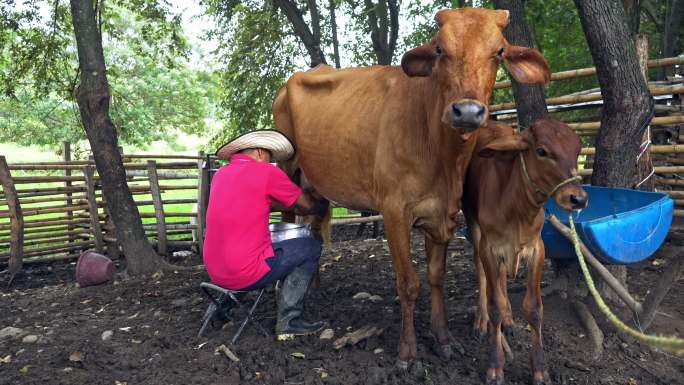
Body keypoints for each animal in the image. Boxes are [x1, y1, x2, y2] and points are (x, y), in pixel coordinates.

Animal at [272, 7, 552, 364]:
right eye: (440, 49)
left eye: (499, 51)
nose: (467, 111)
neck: (441, 156)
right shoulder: (394, 212)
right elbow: (408, 283)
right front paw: (408, 351)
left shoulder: (443, 214)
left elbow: (436, 277)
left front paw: (443, 338)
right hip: (287, 166)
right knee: (288, 219)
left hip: (317, 182)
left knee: (315, 225)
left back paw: (313, 286)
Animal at [462, 118, 584, 384]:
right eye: (542, 151)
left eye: (577, 150)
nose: (578, 199)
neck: (517, 208)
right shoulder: (489, 247)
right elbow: (494, 303)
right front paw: (495, 365)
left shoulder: (537, 248)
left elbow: (534, 309)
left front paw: (540, 368)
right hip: (472, 223)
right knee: (481, 271)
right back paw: (481, 321)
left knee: (502, 278)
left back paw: (509, 320)